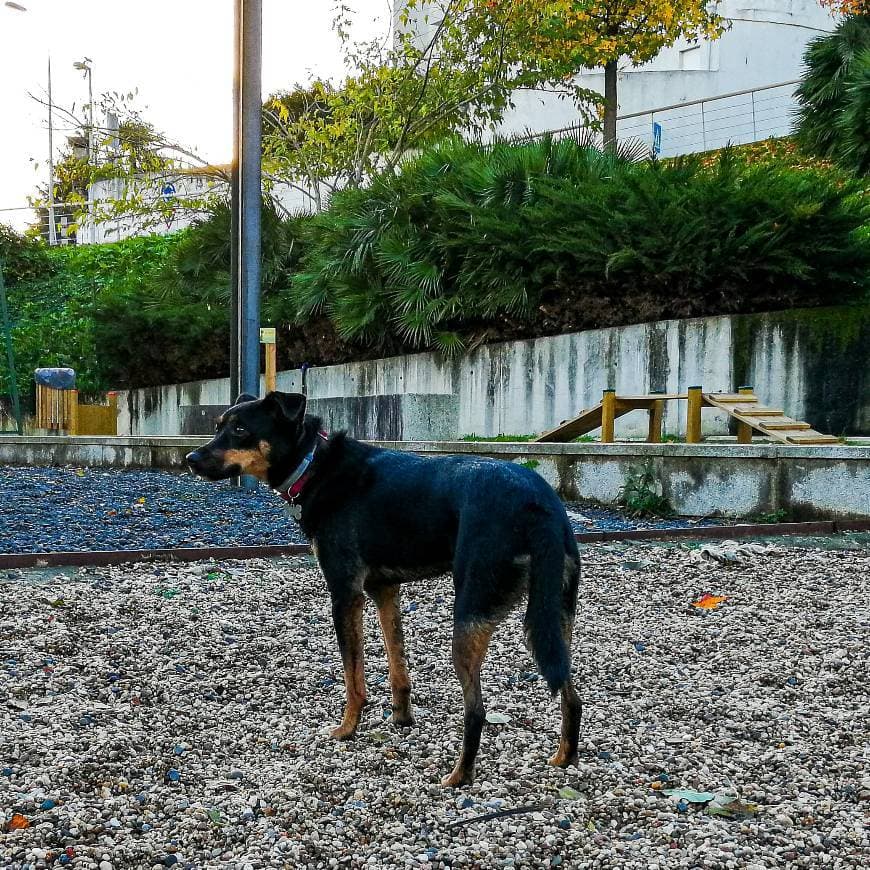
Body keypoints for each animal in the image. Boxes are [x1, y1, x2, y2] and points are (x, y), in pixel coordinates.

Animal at [187, 392, 584, 788]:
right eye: (219, 426)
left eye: (240, 430)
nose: (190, 459)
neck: (314, 464)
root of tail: (537, 503)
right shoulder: (385, 590)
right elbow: (397, 666)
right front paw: (401, 718)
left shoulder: (345, 595)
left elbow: (354, 677)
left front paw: (347, 729)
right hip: (555, 616)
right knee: (572, 695)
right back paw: (564, 758)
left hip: (470, 614)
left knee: (477, 711)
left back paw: (458, 777)